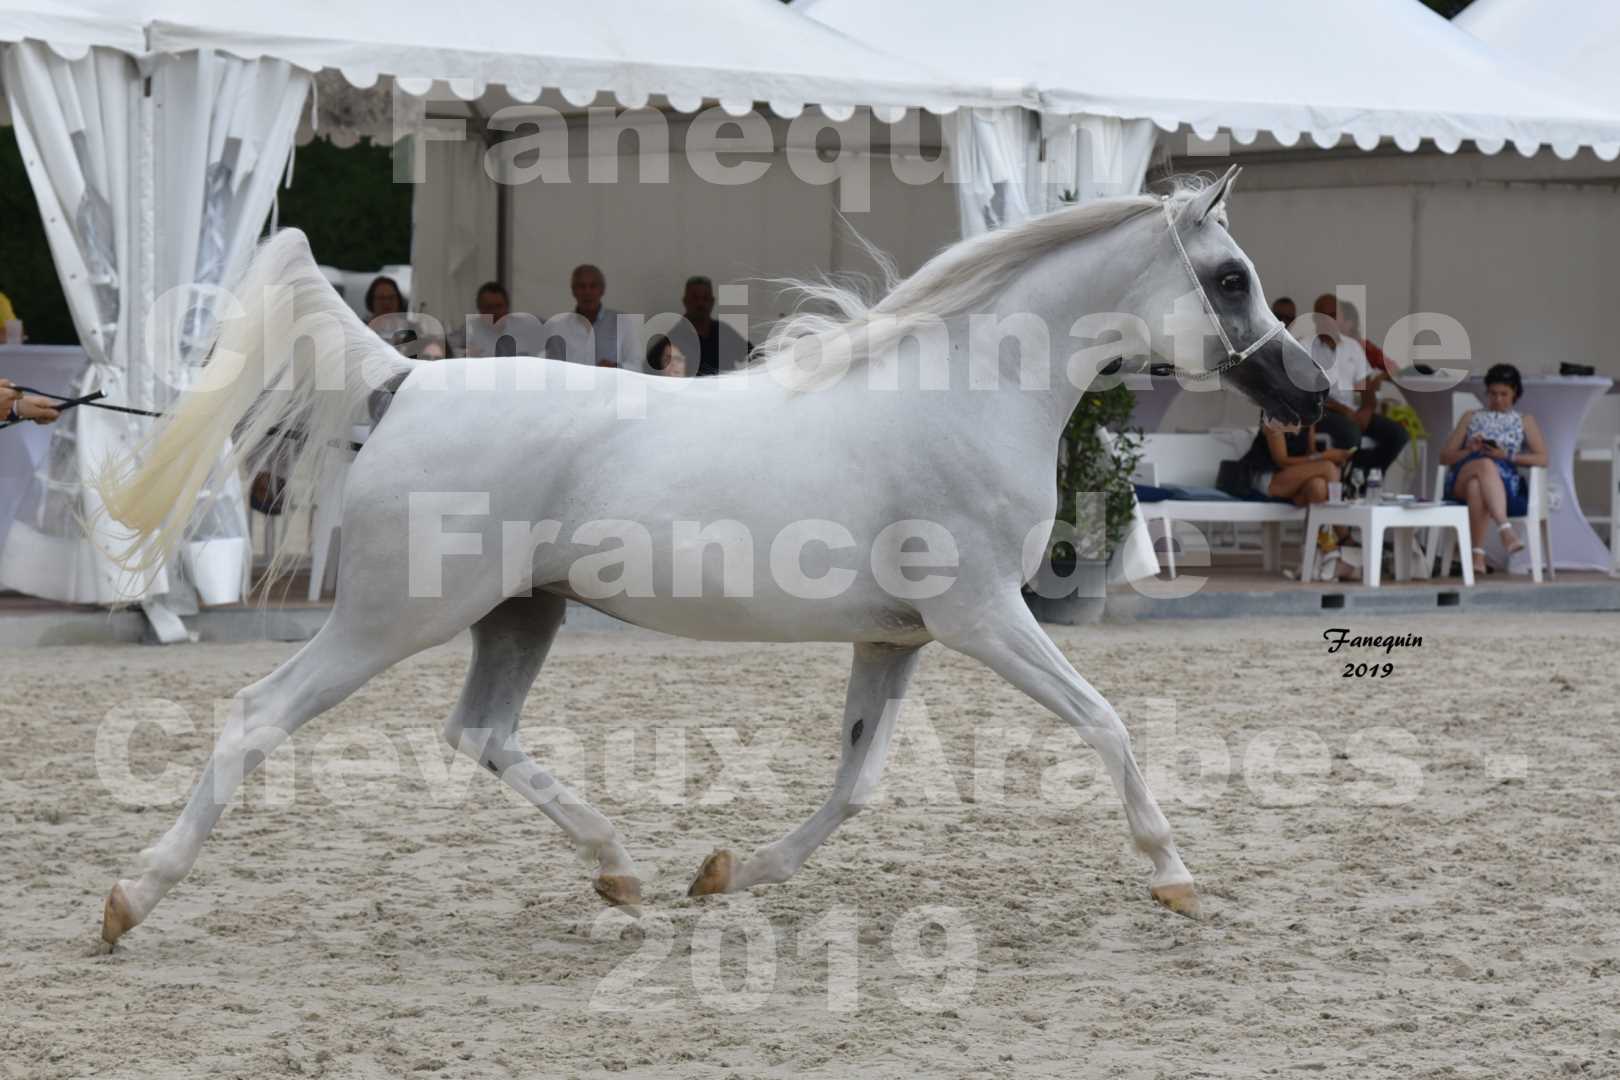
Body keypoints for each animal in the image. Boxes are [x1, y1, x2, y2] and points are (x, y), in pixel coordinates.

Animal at [94, 166, 1321, 945]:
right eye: (1229, 277)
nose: (1310, 393)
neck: (963, 392)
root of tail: (407, 381)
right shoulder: (984, 619)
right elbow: (1105, 721)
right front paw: (1174, 877)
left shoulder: (902, 637)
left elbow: (856, 782)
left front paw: (729, 872)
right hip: (394, 618)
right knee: (259, 714)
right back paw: (128, 902)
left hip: (520, 612)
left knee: (480, 732)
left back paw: (621, 869)